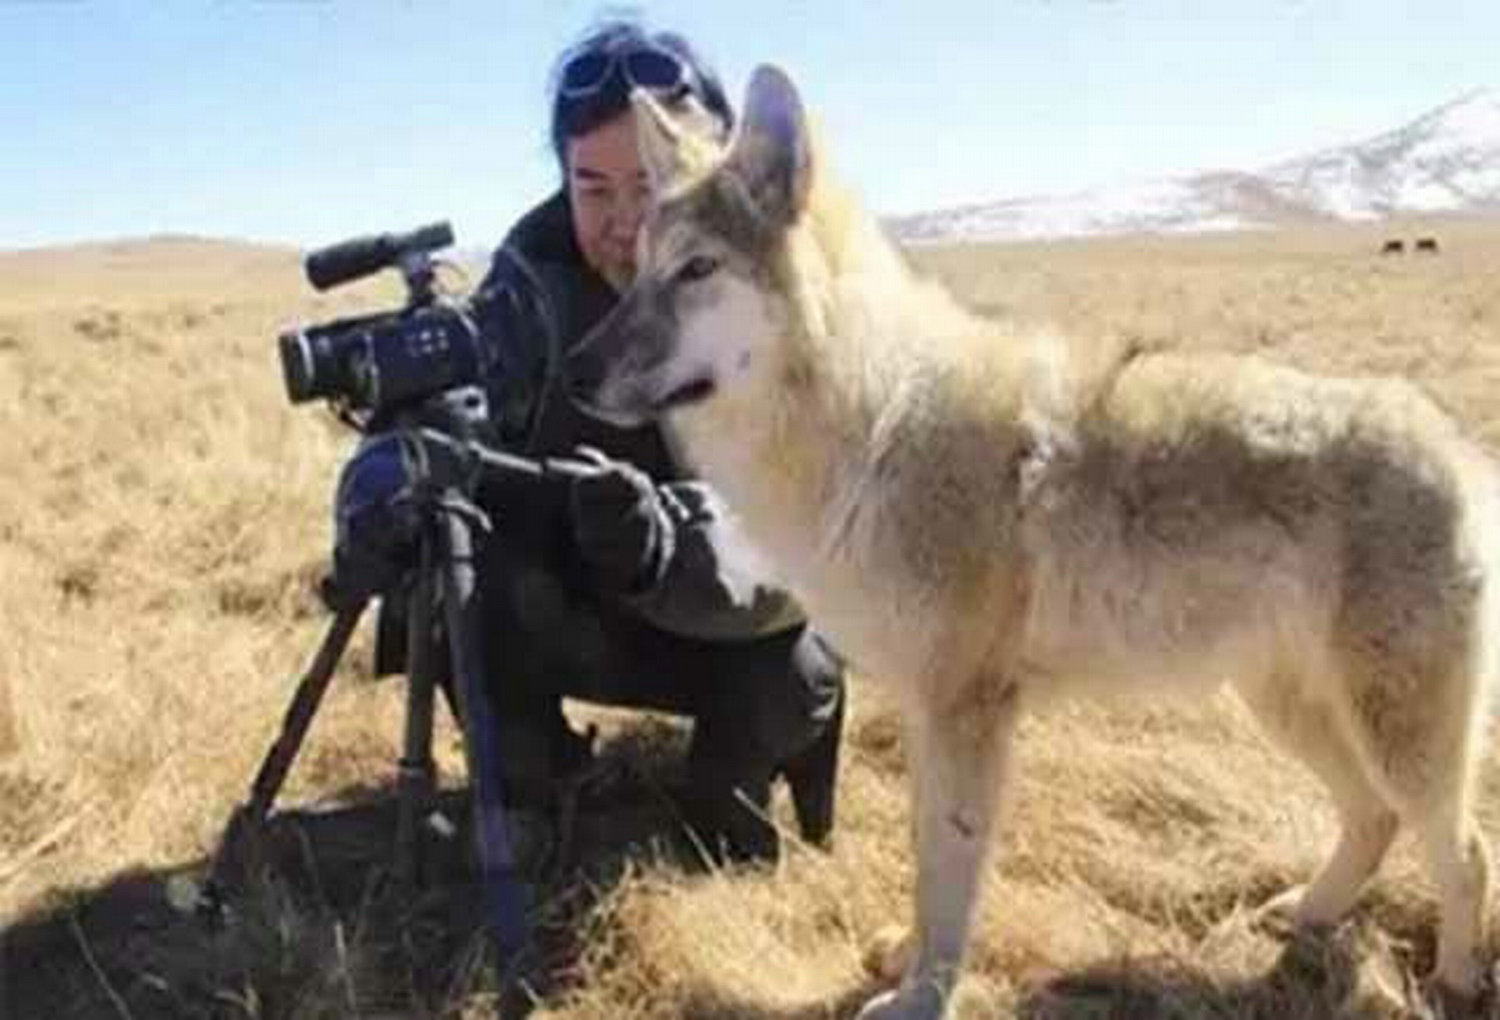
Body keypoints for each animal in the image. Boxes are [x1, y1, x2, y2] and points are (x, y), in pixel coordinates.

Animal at [564, 67, 1500, 1014]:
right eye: (640, 270)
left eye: (696, 270)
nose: (571, 371)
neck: (873, 425)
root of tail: (1459, 448)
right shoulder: (926, 711)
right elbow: (922, 861)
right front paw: (904, 961)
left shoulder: (967, 712)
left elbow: (948, 878)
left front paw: (923, 996)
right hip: (1289, 708)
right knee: (1374, 819)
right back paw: (1300, 916)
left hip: (1393, 733)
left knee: (1464, 851)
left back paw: (1456, 980)